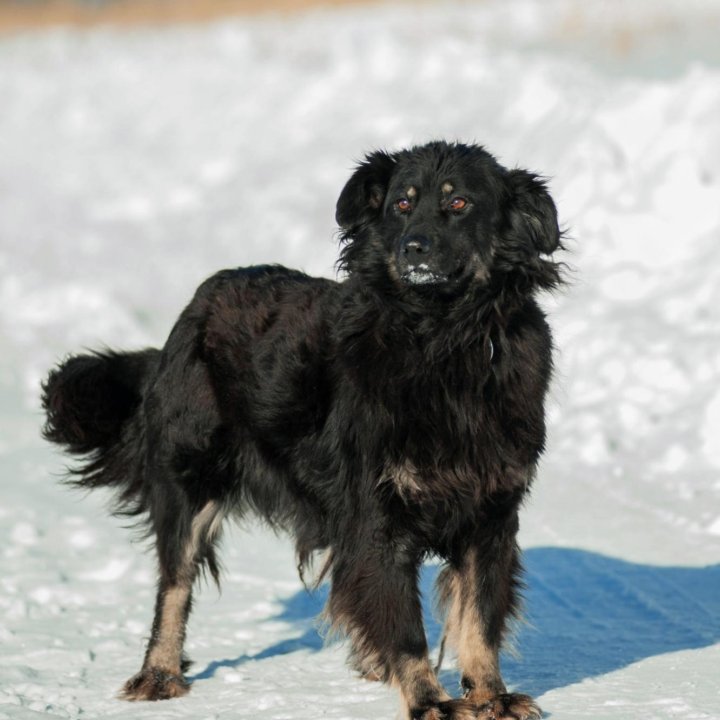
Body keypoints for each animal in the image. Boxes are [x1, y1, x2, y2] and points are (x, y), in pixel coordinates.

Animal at [43, 141, 564, 720]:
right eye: (402, 205)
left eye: (459, 204)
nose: (413, 248)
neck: (444, 339)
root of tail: (192, 309)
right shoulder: (377, 515)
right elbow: (405, 624)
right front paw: (429, 700)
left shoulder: (490, 514)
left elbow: (480, 617)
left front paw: (491, 695)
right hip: (190, 480)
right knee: (174, 584)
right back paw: (159, 673)